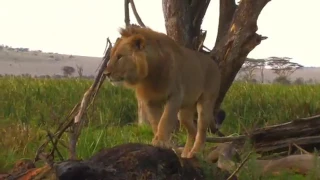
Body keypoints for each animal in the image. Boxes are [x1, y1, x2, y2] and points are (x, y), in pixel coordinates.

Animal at [104, 24, 221, 158]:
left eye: (119, 57)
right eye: (111, 56)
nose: (106, 74)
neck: (149, 76)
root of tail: (214, 63)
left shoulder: (175, 96)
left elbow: (165, 119)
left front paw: (161, 141)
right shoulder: (150, 101)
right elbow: (156, 122)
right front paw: (158, 140)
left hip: (206, 101)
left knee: (202, 130)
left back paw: (195, 152)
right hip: (185, 111)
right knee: (192, 130)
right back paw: (185, 154)